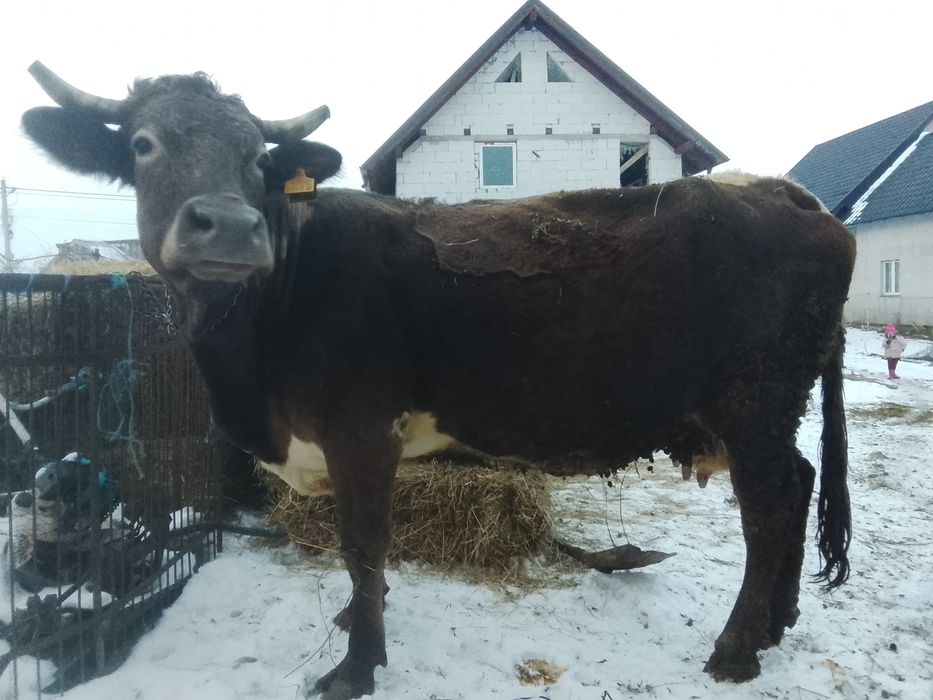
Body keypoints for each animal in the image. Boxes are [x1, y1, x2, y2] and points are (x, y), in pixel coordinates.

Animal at [23, 62, 855, 700]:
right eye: (142, 144)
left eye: (259, 157)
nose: (230, 225)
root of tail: (784, 193)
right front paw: (355, 622)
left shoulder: (361, 430)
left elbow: (363, 544)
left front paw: (356, 665)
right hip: (767, 409)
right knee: (799, 482)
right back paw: (776, 624)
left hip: (751, 401)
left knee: (769, 507)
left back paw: (736, 648)